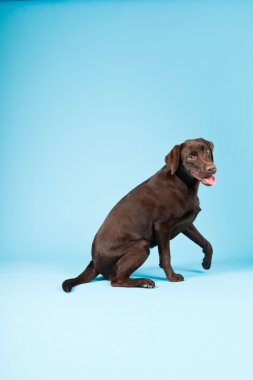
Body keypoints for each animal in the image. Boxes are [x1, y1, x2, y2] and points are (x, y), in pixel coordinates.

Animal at [62, 139, 216, 290]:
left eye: (207, 152)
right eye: (191, 157)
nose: (212, 168)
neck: (182, 182)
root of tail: (93, 262)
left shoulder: (186, 224)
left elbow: (206, 243)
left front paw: (206, 262)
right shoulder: (162, 226)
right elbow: (166, 256)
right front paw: (172, 277)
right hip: (141, 246)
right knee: (116, 281)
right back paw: (143, 282)